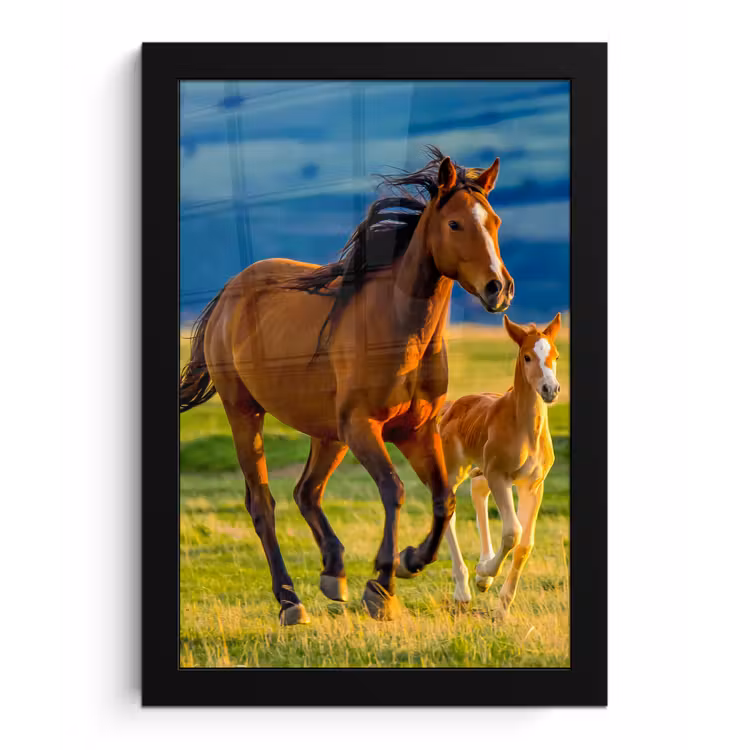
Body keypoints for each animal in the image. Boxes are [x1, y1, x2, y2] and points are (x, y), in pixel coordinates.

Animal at [179, 147, 515, 625]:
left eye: (495, 222)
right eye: (455, 224)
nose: (498, 288)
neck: (399, 329)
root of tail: (228, 293)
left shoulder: (416, 431)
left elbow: (443, 499)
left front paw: (411, 561)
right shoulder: (363, 427)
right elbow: (393, 491)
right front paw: (382, 586)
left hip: (327, 434)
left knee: (307, 492)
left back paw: (333, 572)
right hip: (246, 413)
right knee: (263, 504)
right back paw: (290, 600)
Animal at [434, 313, 562, 617]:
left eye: (556, 356)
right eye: (527, 356)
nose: (550, 390)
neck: (525, 429)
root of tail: (451, 406)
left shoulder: (533, 485)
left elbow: (525, 544)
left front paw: (502, 608)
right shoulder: (499, 475)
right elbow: (513, 532)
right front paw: (484, 573)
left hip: (481, 471)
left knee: (478, 494)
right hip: (456, 470)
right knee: (448, 509)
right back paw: (464, 589)